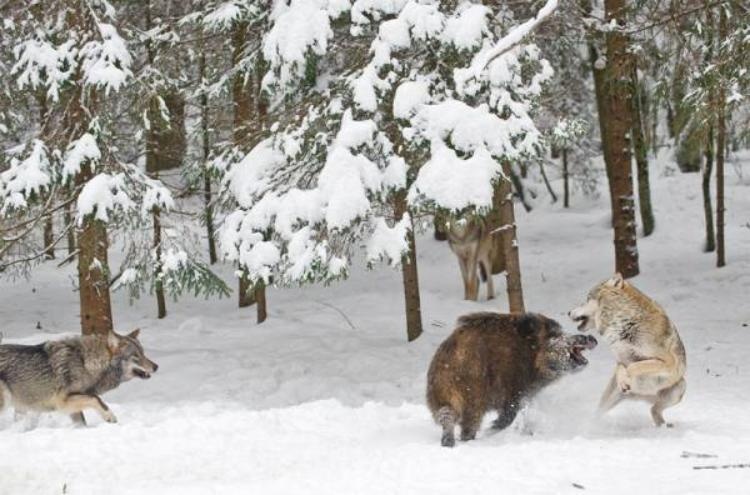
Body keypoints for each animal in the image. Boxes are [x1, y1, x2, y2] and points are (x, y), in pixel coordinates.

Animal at [0, 330, 159, 426]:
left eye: (143, 353)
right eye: (136, 356)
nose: (156, 366)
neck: (85, 363)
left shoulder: (73, 407)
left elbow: (82, 423)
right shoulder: (63, 401)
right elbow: (97, 399)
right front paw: (110, 417)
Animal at [428, 314, 600, 450]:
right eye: (554, 334)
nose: (591, 338)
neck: (531, 355)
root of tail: (453, 358)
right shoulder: (513, 391)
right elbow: (508, 416)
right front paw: (491, 430)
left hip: (442, 395)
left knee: (446, 415)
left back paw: (448, 443)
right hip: (473, 398)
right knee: (467, 425)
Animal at [568, 274, 688, 428]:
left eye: (587, 298)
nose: (568, 312)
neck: (624, 324)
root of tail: (640, 396)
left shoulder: (668, 362)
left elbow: (635, 366)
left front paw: (626, 380)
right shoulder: (620, 358)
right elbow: (622, 367)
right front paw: (624, 381)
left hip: (680, 387)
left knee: (653, 409)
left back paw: (663, 427)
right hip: (610, 399)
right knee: (599, 413)